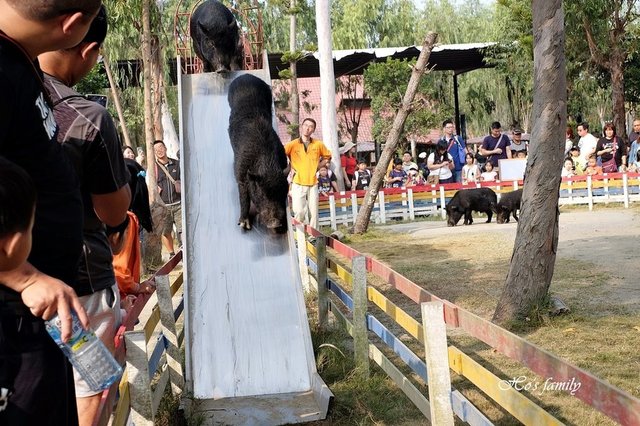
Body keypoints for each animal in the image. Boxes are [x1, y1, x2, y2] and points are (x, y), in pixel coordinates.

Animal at [229, 73, 288, 233]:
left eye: (283, 192)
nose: (276, 224)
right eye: (261, 194)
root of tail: (246, 75)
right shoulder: (240, 172)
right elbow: (243, 197)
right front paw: (244, 225)